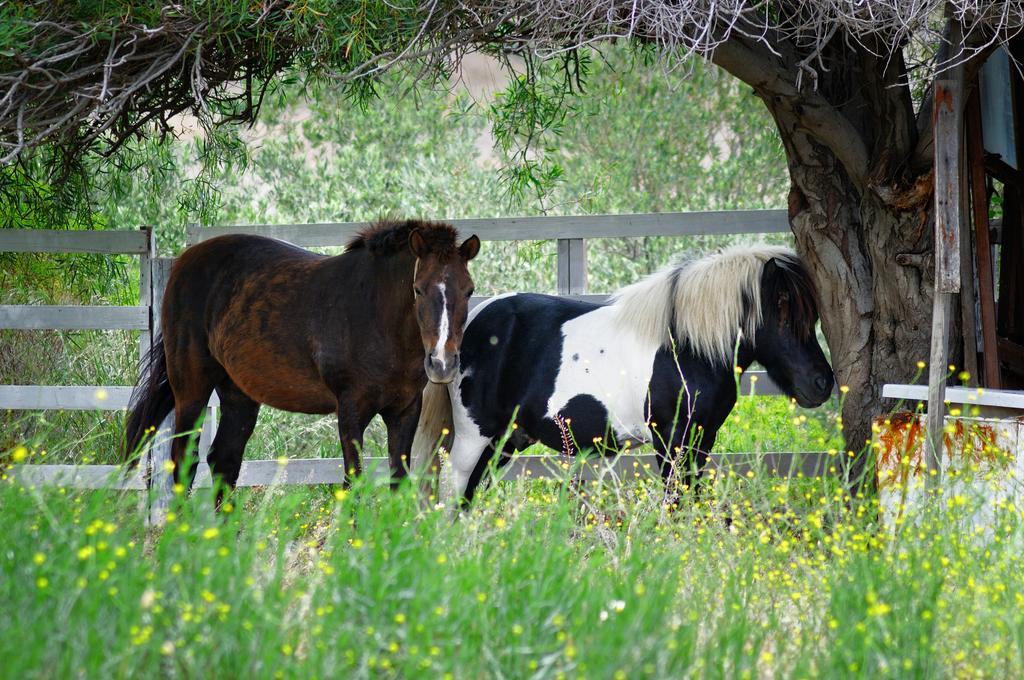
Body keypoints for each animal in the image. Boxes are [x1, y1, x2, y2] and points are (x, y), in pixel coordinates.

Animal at [126, 220, 479, 497]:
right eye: (418, 289)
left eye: (469, 290)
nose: (442, 363)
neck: (377, 314)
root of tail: (184, 263)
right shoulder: (351, 408)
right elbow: (353, 479)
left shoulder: (404, 409)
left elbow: (398, 480)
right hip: (191, 387)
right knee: (183, 460)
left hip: (239, 393)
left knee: (223, 460)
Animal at [411, 244, 835, 503]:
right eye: (784, 312)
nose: (822, 383)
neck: (687, 347)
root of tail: (463, 332)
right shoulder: (672, 442)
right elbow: (676, 503)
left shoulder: (700, 442)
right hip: (474, 435)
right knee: (453, 489)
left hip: (505, 440)